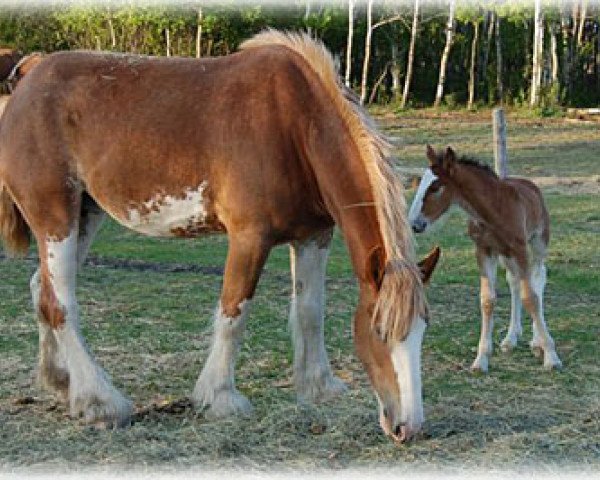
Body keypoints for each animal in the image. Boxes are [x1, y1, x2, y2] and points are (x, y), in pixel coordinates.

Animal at [0, 30, 432, 442]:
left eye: (423, 330)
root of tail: (30, 74)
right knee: (60, 304)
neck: (294, 122)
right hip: (56, 217)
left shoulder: (314, 236)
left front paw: (319, 386)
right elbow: (233, 312)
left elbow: (310, 311)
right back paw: (100, 402)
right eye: (380, 331)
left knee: (41, 288)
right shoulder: (249, 238)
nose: (407, 427)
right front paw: (219, 398)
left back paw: (61, 382)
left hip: (84, 216)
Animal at [408, 145, 564, 372]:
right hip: (505, 254)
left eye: (436, 187)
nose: (414, 224)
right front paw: (481, 359)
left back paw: (536, 342)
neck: (493, 210)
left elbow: (531, 297)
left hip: (538, 242)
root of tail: (531, 185)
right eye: (420, 183)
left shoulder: (520, 249)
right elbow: (487, 299)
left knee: (538, 278)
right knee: (514, 282)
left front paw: (551, 356)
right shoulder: (484, 251)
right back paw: (511, 338)